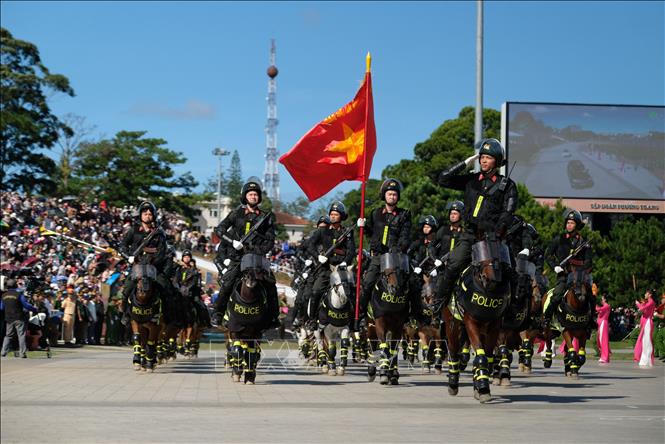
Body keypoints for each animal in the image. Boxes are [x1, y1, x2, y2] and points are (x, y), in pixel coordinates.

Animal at [226, 253, 272, 386]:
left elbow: (251, 354)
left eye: (259, 272)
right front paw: (236, 373)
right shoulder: (234, 330)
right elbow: (237, 350)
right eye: (246, 272)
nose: (250, 279)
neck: (248, 302)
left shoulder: (256, 333)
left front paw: (250, 377)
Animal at [444, 238, 510, 404]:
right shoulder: (471, 322)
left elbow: (488, 357)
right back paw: (453, 384)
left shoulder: (495, 326)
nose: (492, 280)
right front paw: (483, 389)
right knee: (453, 351)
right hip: (452, 325)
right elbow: (480, 357)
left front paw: (481, 387)